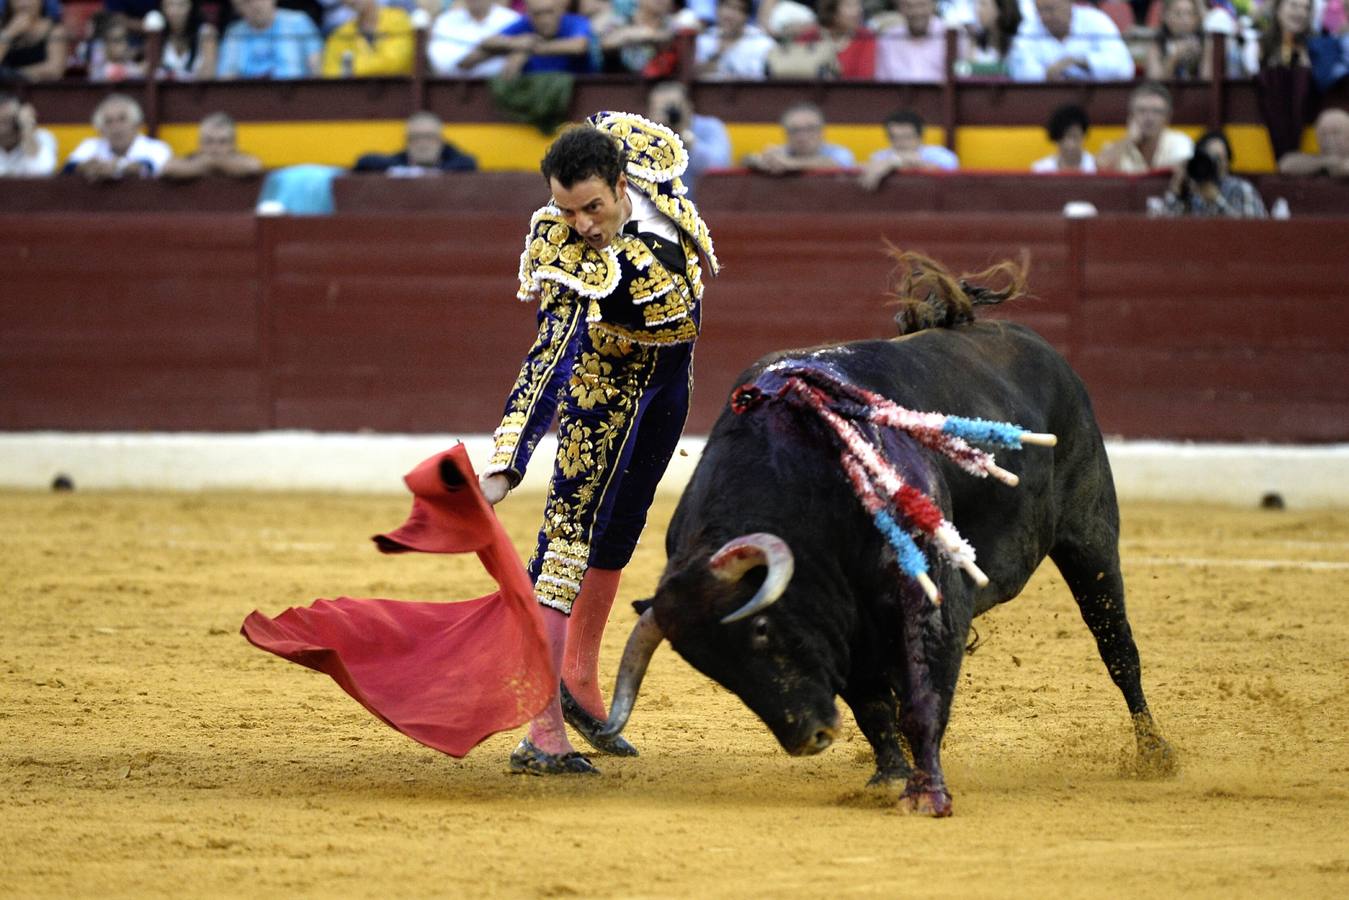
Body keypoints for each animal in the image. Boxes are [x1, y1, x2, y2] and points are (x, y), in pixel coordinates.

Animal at [604, 253, 1181, 814]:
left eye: (762, 629)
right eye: (712, 667)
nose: (809, 737)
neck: (803, 484)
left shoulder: (930, 595)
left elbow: (922, 694)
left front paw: (926, 790)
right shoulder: (843, 623)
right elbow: (873, 706)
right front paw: (888, 776)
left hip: (1090, 537)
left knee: (1116, 645)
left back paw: (1155, 754)